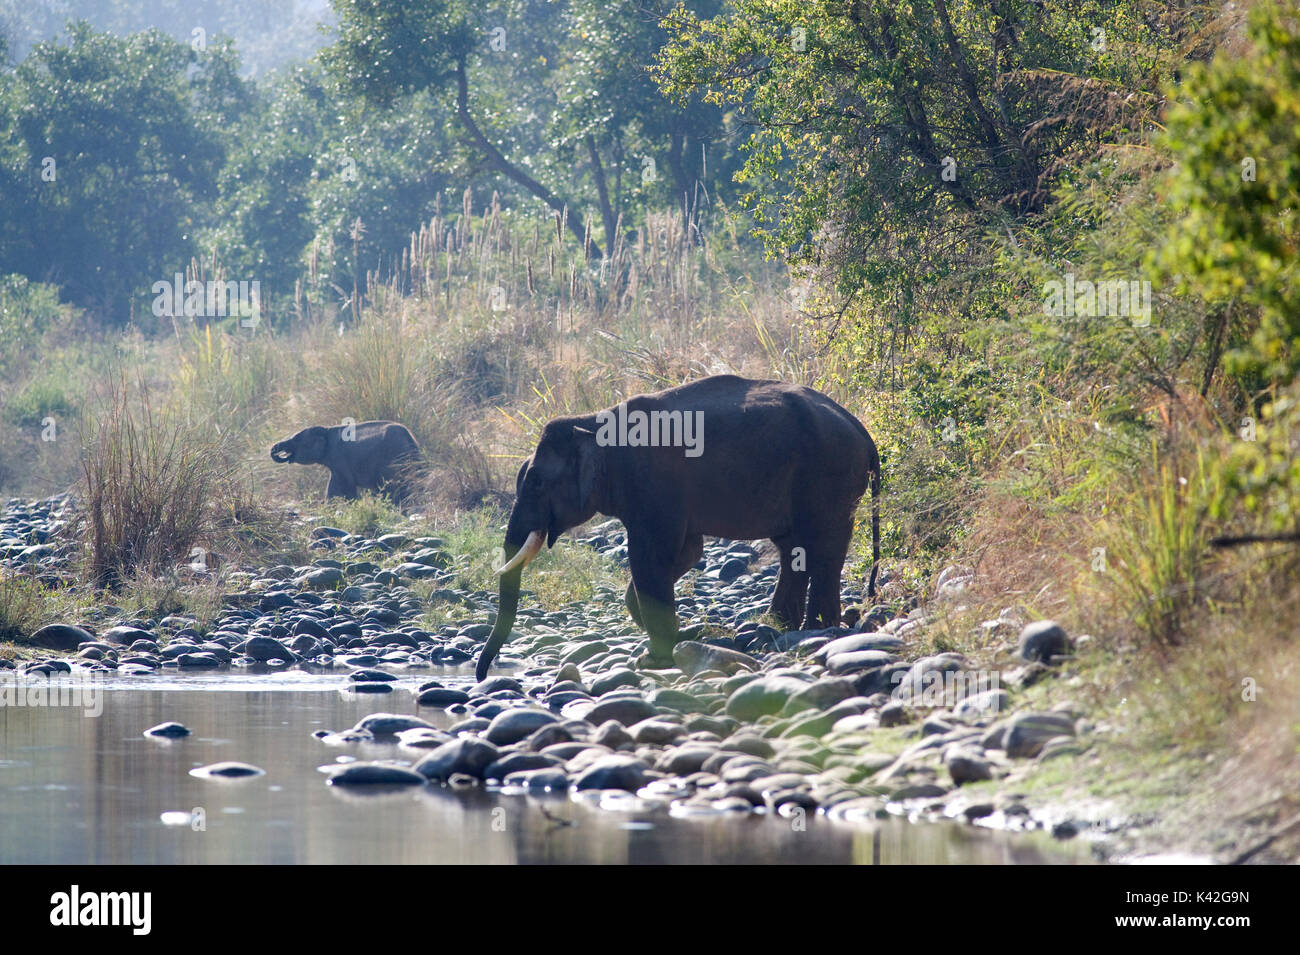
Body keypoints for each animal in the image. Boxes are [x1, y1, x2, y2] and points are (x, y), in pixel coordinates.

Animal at [270, 421, 420, 505]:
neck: (327, 429)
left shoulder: (340, 458)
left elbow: (346, 486)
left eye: (296, 440)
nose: (277, 451)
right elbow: (332, 488)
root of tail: (412, 441)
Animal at [475, 374, 880, 681]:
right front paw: (681, 636)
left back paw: (816, 629)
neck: (592, 422)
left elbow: (651, 554)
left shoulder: (652, 483)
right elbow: (685, 551)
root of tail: (861, 428)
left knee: (824, 548)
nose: (482, 674)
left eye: (536, 483)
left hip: (831, 475)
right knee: (794, 548)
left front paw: (653, 659)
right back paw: (783, 627)